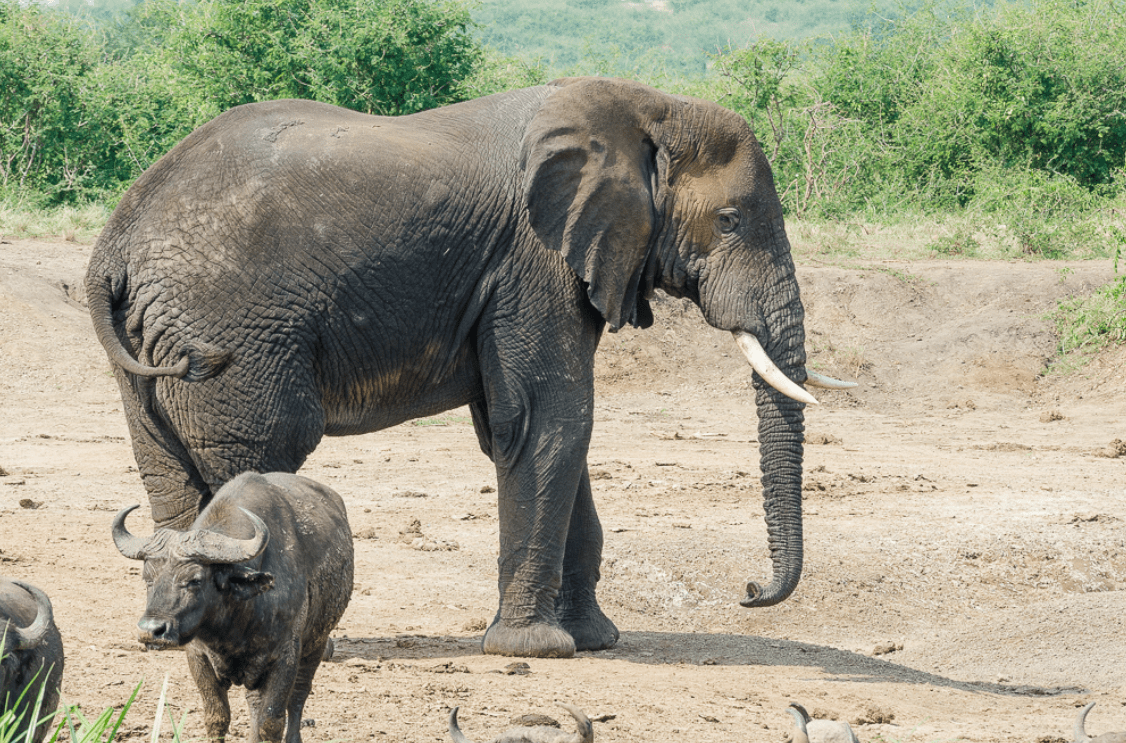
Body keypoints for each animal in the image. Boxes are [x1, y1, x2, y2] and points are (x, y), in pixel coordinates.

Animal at [86, 76, 852, 659]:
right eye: (729, 221)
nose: (751, 591)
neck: (646, 105)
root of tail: (113, 248)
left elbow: (541, 429)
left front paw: (595, 640)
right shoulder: (534, 261)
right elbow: (548, 422)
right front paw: (536, 649)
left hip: (153, 353)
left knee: (168, 469)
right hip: (232, 338)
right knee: (262, 452)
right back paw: (300, 644)